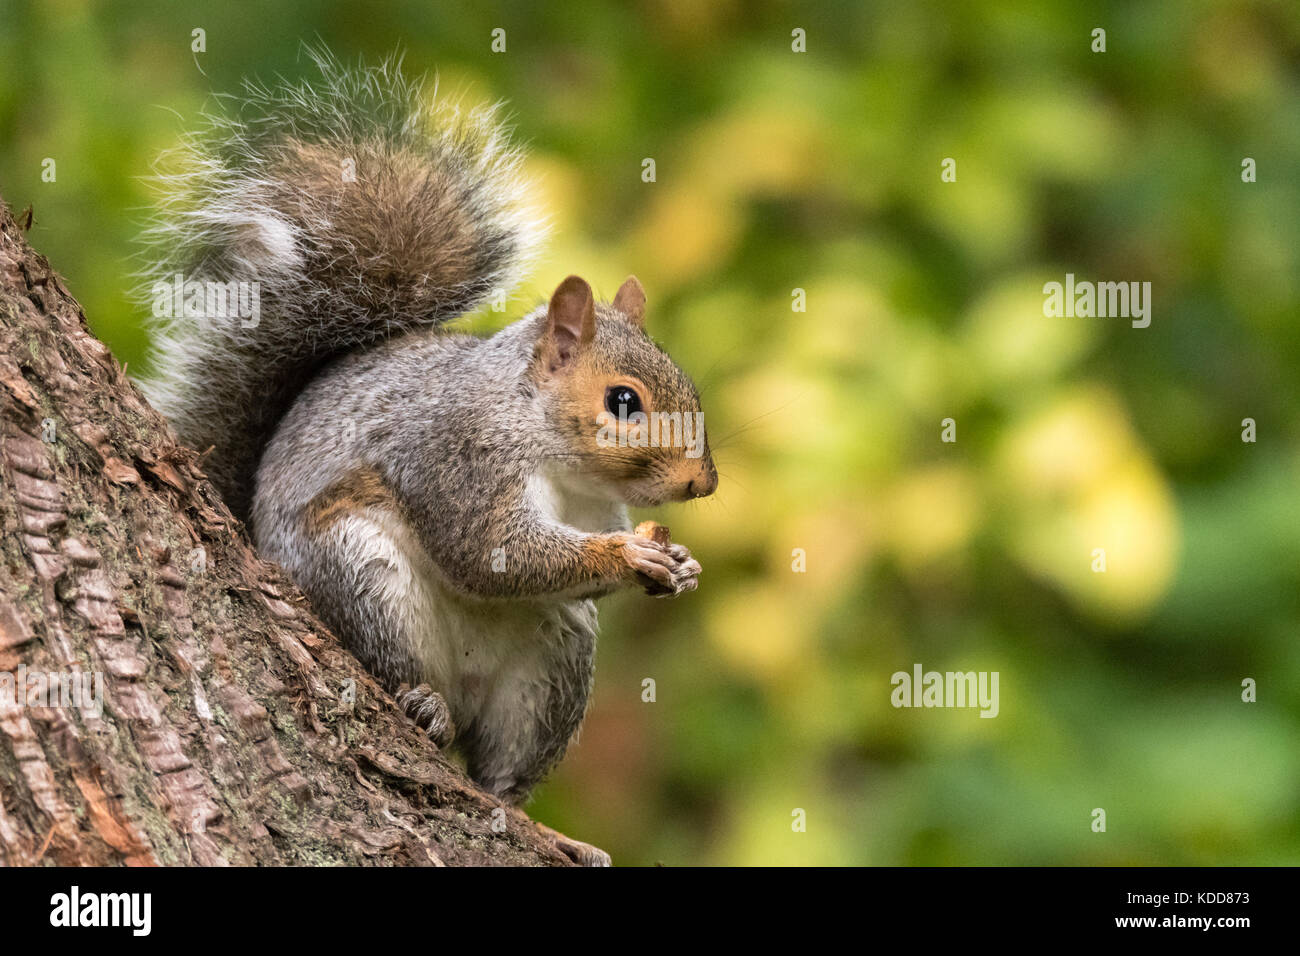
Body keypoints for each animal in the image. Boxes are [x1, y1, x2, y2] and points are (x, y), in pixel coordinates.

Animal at [139, 46, 722, 868]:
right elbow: (491, 551)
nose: (703, 483)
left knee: (499, 774)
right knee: (396, 670)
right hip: (360, 575)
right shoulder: (457, 458)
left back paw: (541, 825)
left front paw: (683, 566)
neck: (547, 449)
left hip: (553, 665)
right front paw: (628, 555)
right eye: (623, 402)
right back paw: (422, 701)